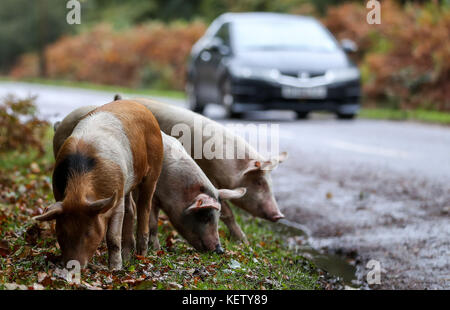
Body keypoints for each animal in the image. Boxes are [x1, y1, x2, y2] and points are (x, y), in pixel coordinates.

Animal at [34, 101, 163, 268]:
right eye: (62, 231)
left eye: (88, 232)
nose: (73, 266)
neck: (79, 188)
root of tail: (140, 105)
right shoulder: (59, 195)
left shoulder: (117, 196)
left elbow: (112, 236)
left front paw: (115, 268)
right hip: (128, 181)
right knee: (131, 209)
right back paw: (128, 258)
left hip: (154, 171)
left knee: (144, 209)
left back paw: (141, 256)